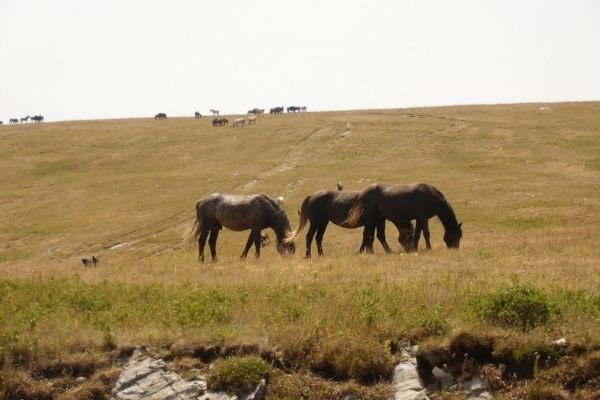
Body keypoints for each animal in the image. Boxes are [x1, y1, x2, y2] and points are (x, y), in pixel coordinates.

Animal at [284, 190, 414, 258]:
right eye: (410, 235)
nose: (411, 250)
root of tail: (312, 196)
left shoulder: (376, 221)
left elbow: (369, 236)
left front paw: (362, 251)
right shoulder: (373, 221)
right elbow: (374, 236)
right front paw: (383, 251)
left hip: (323, 223)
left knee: (318, 237)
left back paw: (321, 255)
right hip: (316, 222)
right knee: (309, 237)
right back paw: (308, 256)